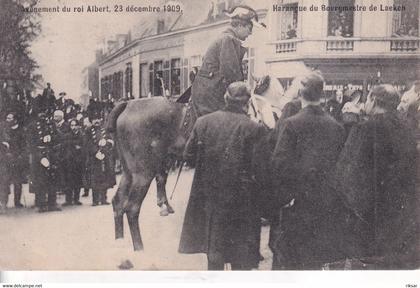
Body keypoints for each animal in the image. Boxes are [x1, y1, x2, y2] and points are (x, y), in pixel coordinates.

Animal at [108, 97, 187, 250]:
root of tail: (128, 104)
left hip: (129, 173)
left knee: (118, 203)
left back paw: (119, 241)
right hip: (143, 173)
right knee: (132, 208)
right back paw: (139, 248)